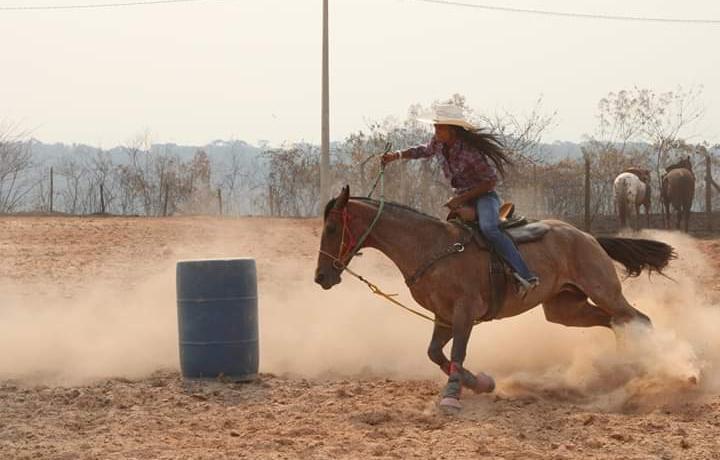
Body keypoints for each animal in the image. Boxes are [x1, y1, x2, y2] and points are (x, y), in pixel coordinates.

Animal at [314, 186, 676, 414]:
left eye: (331, 228)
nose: (320, 277)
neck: (432, 247)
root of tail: (587, 236)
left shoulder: (465, 313)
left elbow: (457, 353)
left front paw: (452, 397)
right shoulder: (443, 316)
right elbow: (435, 353)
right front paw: (480, 383)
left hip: (604, 290)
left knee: (637, 318)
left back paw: (650, 366)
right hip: (566, 308)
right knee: (616, 321)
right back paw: (623, 365)